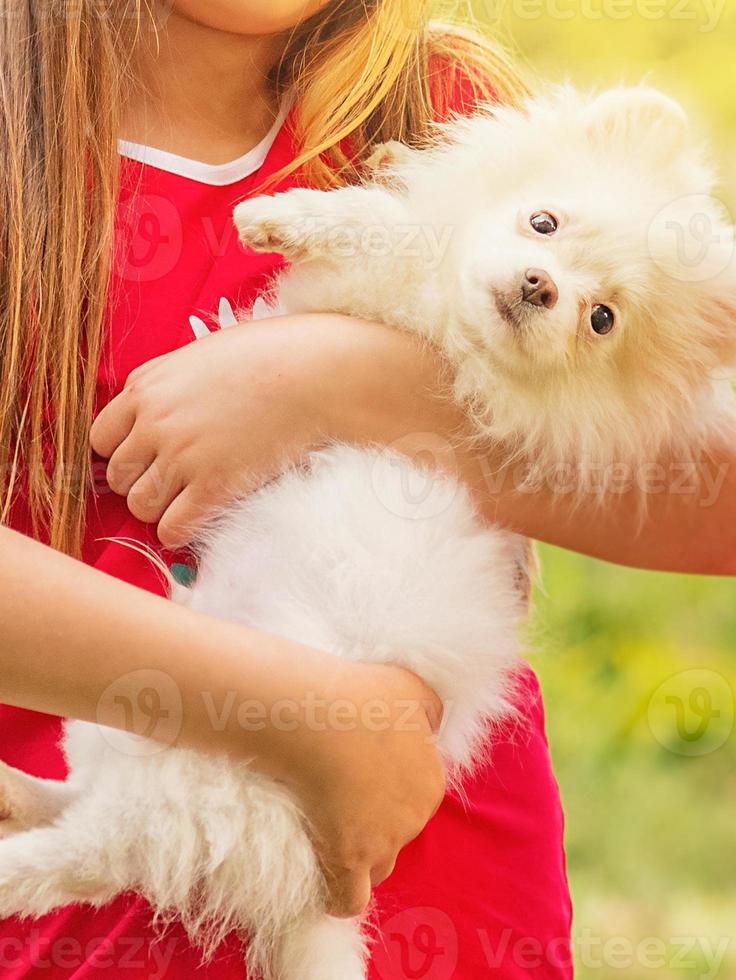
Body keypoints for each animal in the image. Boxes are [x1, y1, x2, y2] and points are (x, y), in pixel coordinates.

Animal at [1, 86, 736, 980]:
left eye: (602, 319)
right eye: (544, 223)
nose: (539, 286)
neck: (447, 322)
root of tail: (308, 900)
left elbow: (377, 226)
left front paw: (276, 218)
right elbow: (396, 223)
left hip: (202, 778)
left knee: (87, 856)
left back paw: (8, 856)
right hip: (130, 725)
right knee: (81, 799)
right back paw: (13, 791)